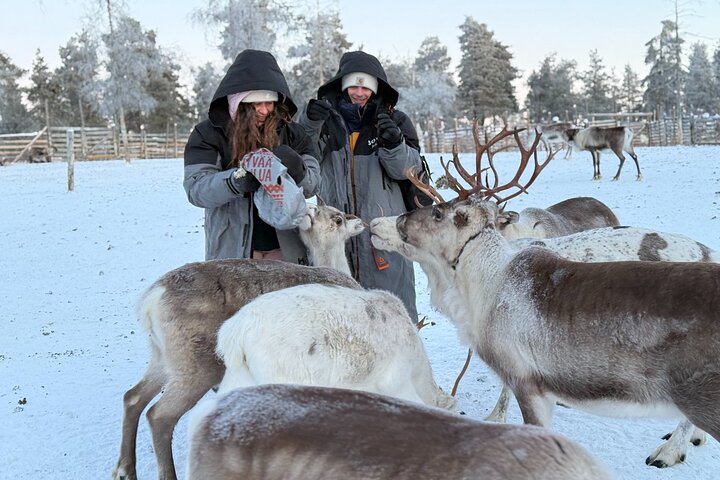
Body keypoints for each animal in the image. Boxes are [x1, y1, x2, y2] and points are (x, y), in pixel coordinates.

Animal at [112, 202, 365, 480]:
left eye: (333, 213)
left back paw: (124, 470)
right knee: (160, 415)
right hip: (198, 364)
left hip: (163, 356)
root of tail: (150, 301)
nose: (353, 219)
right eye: (338, 218)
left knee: (133, 397)